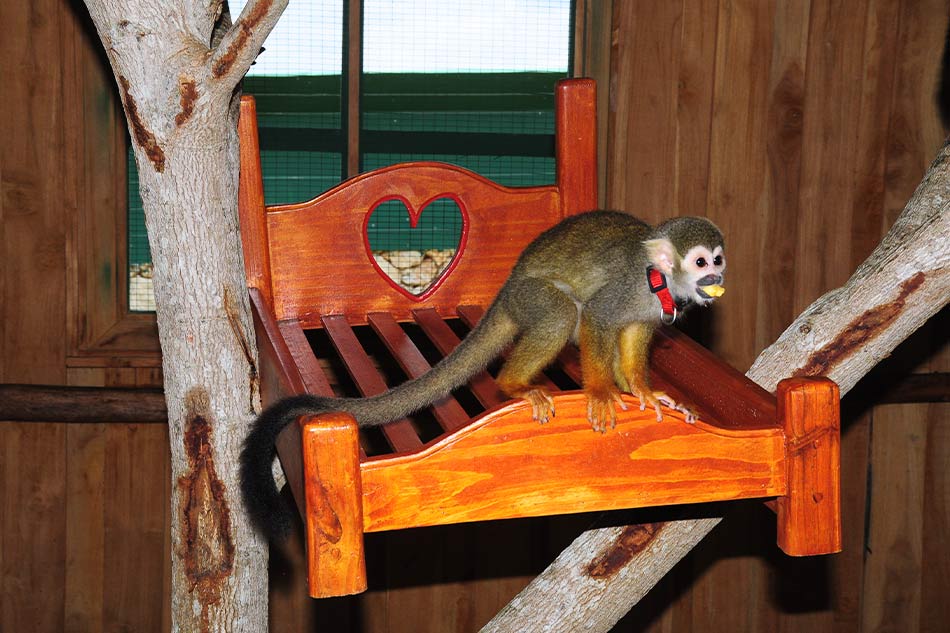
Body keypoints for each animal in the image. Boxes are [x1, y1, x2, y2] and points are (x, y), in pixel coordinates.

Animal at [240, 210, 725, 539]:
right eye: (701, 263)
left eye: (718, 260)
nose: (716, 277)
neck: (659, 282)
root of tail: (506, 289)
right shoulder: (627, 289)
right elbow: (597, 319)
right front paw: (604, 392)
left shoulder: (652, 308)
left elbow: (636, 333)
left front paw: (643, 390)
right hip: (529, 296)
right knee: (563, 312)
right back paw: (513, 384)